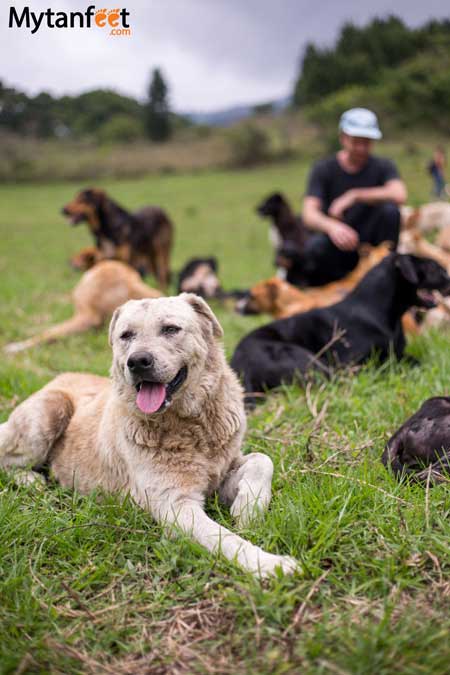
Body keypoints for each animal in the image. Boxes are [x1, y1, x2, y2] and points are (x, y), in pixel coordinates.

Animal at [0, 294, 298, 580]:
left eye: (170, 329)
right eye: (126, 335)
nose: (138, 361)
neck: (191, 428)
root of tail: (60, 377)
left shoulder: (221, 472)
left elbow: (262, 460)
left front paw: (248, 511)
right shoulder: (175, 505)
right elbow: (224, 538)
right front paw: (270, 564)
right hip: (50, 409)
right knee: (8, 459)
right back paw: (30, 480)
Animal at [232, 254, 450, 402]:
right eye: (435, 268)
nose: (449, 277)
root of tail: (240, 367)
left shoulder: (397, 353)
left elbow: (416, 360)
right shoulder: (351, 364)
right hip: (308, 360)